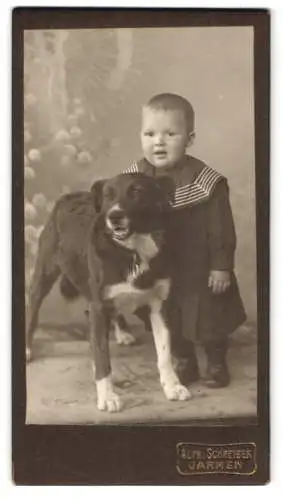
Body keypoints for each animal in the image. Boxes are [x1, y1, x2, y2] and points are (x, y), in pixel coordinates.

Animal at [25, 174, 192, 412]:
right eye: (107, 195)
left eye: (137, 191)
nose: (115, 216)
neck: (131, 251)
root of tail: (69, 196)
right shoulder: (99, 306)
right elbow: (102, 357)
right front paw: (107, 396)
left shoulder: (161, 305)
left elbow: (164, 352)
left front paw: (172, 385)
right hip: (45, 271)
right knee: (33, 307)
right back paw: (27, 348)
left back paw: (121, 331)